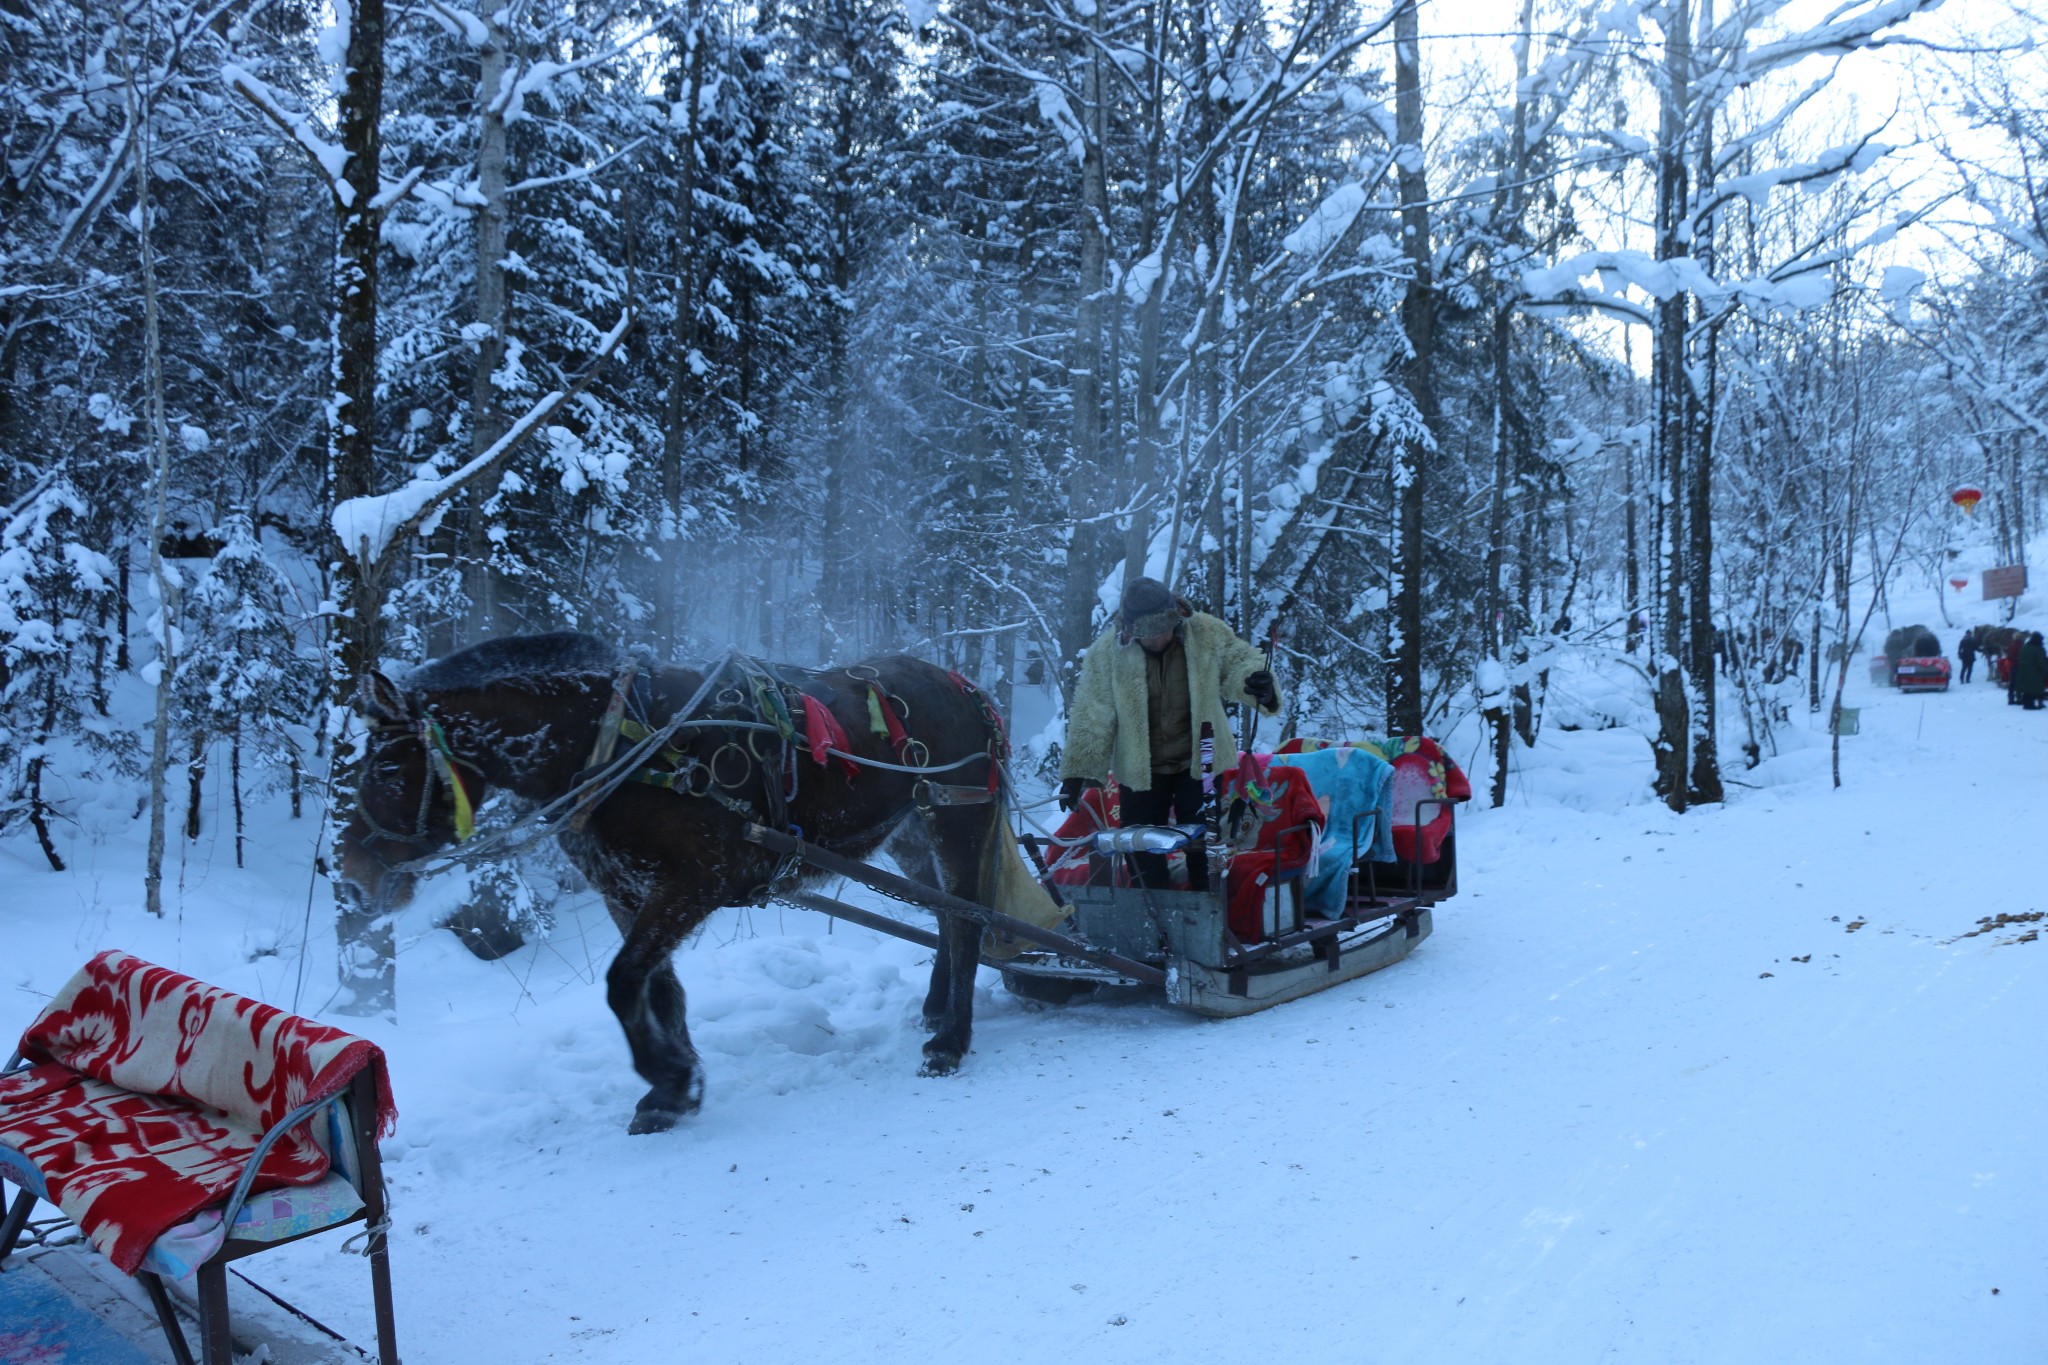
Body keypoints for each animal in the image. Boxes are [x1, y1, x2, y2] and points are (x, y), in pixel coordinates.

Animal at [342, 630, 1032, 1129]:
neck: (621, 745)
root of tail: (967, 687)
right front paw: (675, 1087)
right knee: (943, 913)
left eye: (387, 767)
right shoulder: (626, 894)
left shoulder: (693, 885)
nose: (351, 879)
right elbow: (659, 990)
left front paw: (667, 1078)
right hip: (910, 835)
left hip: (956, 819)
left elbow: (623, 983)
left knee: (967, 919)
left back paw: (951, 1040)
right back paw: (936, 1011)